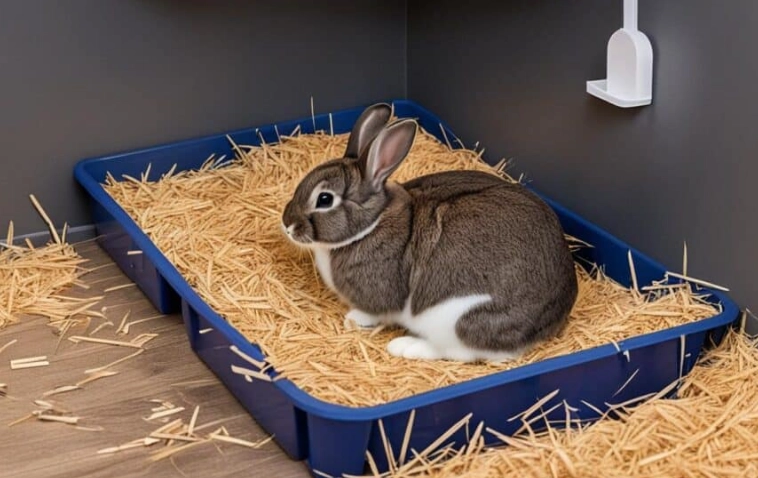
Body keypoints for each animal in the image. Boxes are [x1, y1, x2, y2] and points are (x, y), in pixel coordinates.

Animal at [281, 103, 578, 362]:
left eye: (324, 199)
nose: (287, 224)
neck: (371, 224)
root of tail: (548, 322)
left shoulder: (379, 299)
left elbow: (373, 313)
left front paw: (353, 320)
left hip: (455, 319)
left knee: (457, 352)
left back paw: (405, 346)